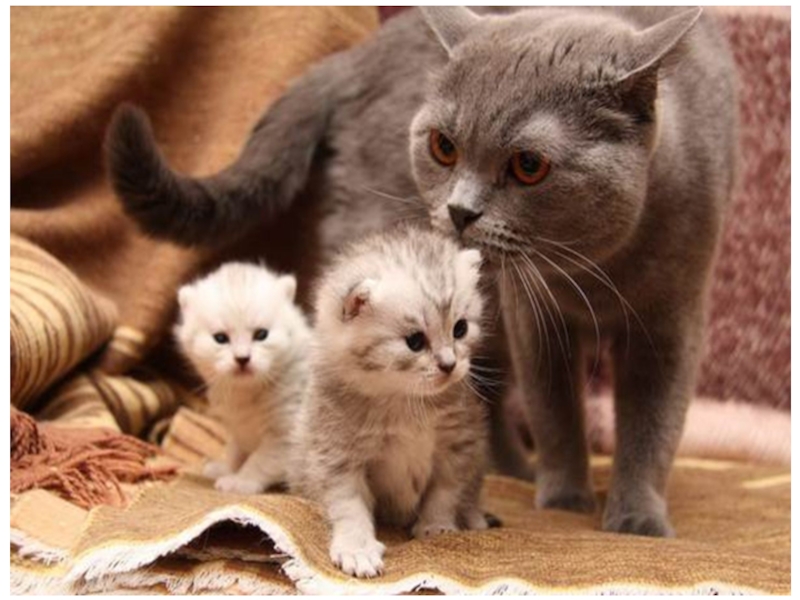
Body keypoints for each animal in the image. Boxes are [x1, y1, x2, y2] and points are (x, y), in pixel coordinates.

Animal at [174, 262, 311, 495]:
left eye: (261, 335)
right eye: (220, 338)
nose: (242, 359)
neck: (249, 391)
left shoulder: (284, 436)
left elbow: (259, 461)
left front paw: (240, 481)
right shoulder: (237, 428)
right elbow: (235, 452)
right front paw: (225, 469)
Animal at [290, 227, 490, 578]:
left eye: (461, 328)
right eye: (415, 341)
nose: (450, 365)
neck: (404, 399)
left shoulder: (459, 442)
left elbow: (445, 491)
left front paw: (436, 526)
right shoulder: (336, 455)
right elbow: (348, 505)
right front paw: (356, 548)